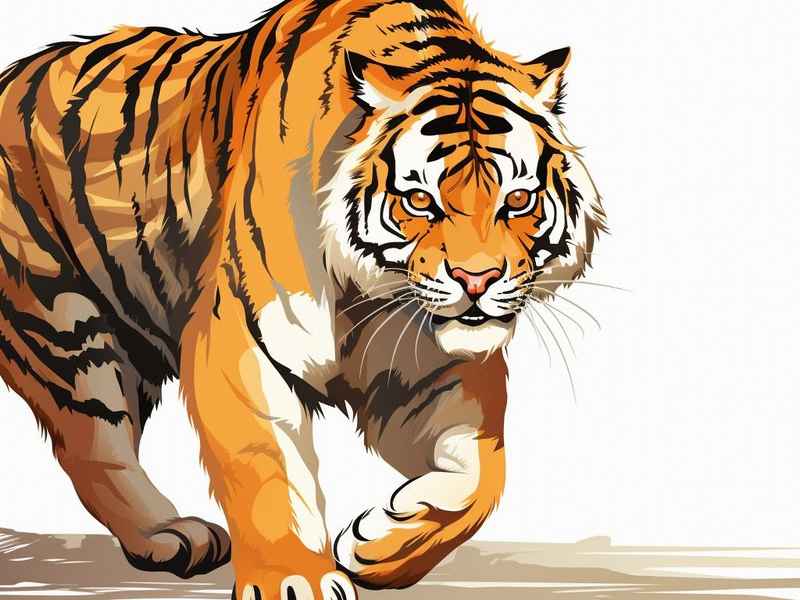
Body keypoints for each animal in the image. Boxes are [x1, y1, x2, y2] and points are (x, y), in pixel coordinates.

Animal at [0, 0, 605, 598]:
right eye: (419, 201)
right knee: (93, 447)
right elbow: (267, 464)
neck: (373, 292)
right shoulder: (243, 339)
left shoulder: (434, 369)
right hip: (65, 331)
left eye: (518, 200)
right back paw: (171, 534)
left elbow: (484, 475)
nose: (475, 280)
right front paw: (295, 575)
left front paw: (381, 544)